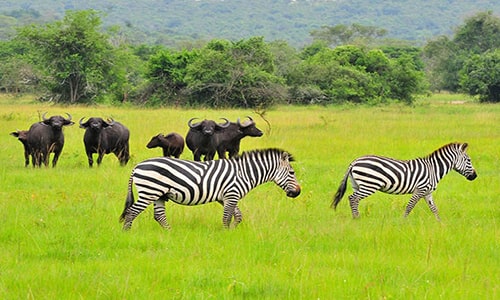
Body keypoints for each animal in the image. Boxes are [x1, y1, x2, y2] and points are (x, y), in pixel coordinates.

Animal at [119, 148, 302, 230]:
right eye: (292, 172)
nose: (298, 192)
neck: (244, 173)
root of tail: (137, 166)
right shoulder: (231, 194)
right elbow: (227, 217)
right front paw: (226, 234)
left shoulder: (226, 197)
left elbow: (238, 216)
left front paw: (232, 232)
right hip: (149, 191)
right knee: (132, 212)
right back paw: (127, 233)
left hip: (158, 195)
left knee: (159, 216)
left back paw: (169, 233)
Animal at [332, 143, 476, 220]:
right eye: (469, 160)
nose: (475, 176)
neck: (433, 169)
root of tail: (354, 161)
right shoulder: (420, 189)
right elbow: (409, 206)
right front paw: (403, 221)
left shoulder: (427, 192)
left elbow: (434, 208)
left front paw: (440, 223)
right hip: (369, 184)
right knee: (353, 198)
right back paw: (357, 218)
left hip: (357, 184)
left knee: (353, 199)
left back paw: (356, 217)